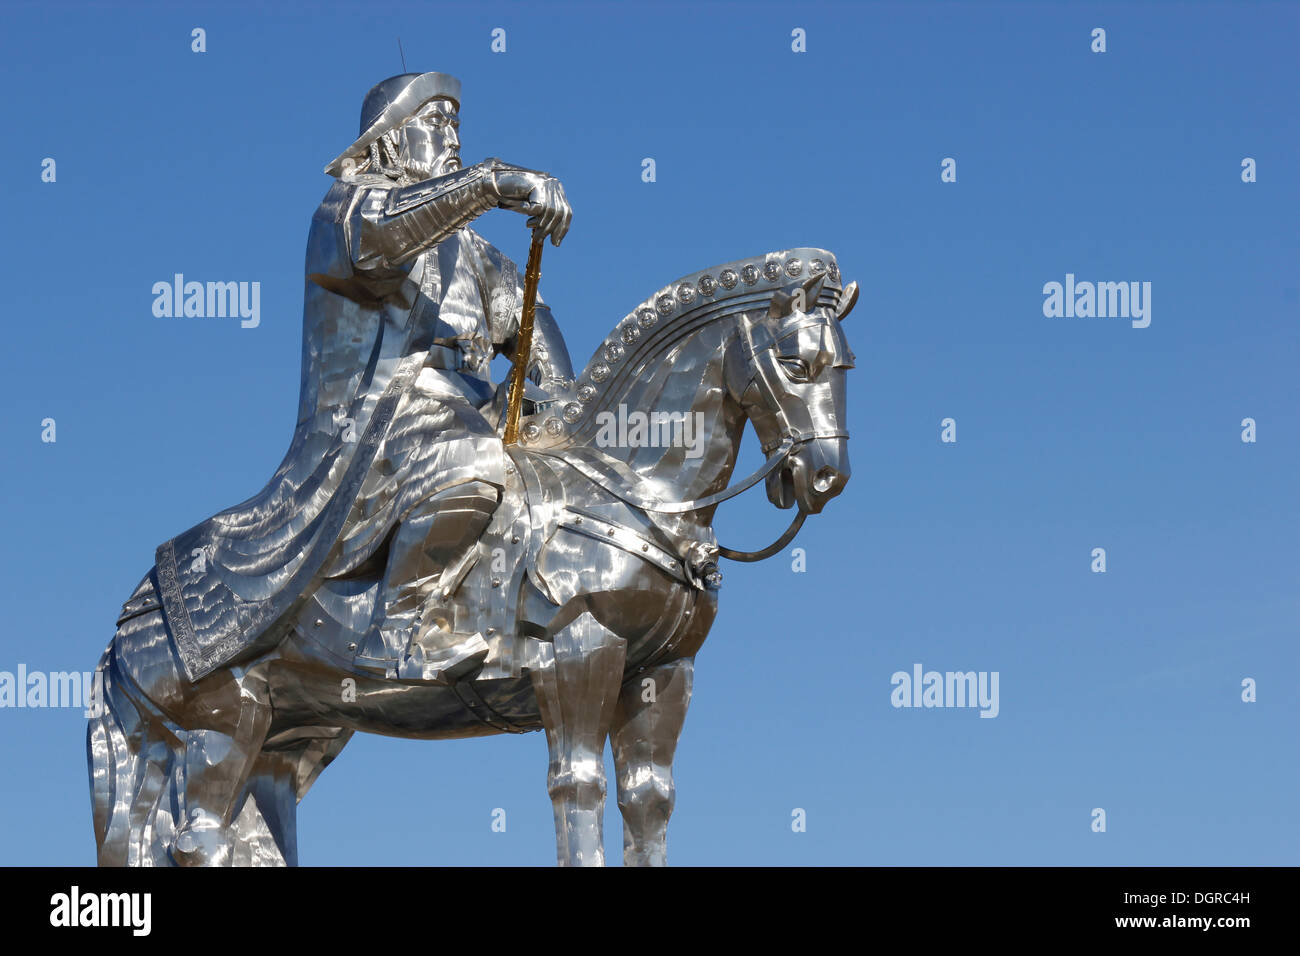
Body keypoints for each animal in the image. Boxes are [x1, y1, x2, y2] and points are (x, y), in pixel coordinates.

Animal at [83, 247, 852, 868]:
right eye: (796, 364)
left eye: (845, 367)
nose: (825, 477)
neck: (626, 485)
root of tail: (136, 613)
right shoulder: (579, 649)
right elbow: (579, 784)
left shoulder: (666, 672)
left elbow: (648, 800)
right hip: (225, 724)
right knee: (197, 842)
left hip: (285, 740)